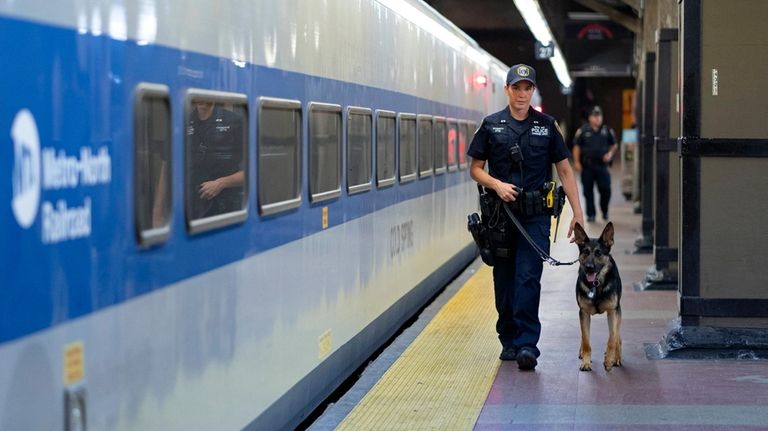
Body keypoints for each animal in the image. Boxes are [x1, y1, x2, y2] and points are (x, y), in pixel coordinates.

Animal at [572, 223, 620, 372]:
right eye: (585, 252)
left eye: (599, 253)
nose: (589, 267)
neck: (596, 284)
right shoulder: (583, 313)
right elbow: (586, 340)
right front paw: (586, 362)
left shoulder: (613, 312)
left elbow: (612, 338)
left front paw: (609, 360)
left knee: (618, 335)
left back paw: (617, 357)